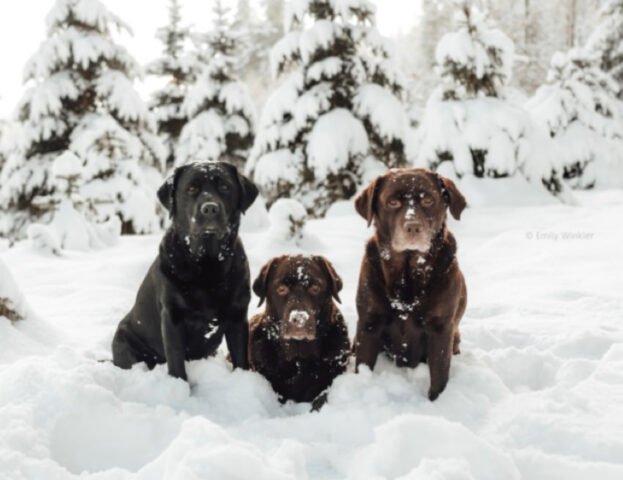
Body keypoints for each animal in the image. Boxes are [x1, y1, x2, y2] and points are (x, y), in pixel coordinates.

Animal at [354, 167, 466, 400]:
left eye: (428, 200)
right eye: (393, 202)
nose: (413, 227)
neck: (407, 275)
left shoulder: (441, 328)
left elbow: (439, 374)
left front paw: (436, 401)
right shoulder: (368, 323)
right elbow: (362, 365)